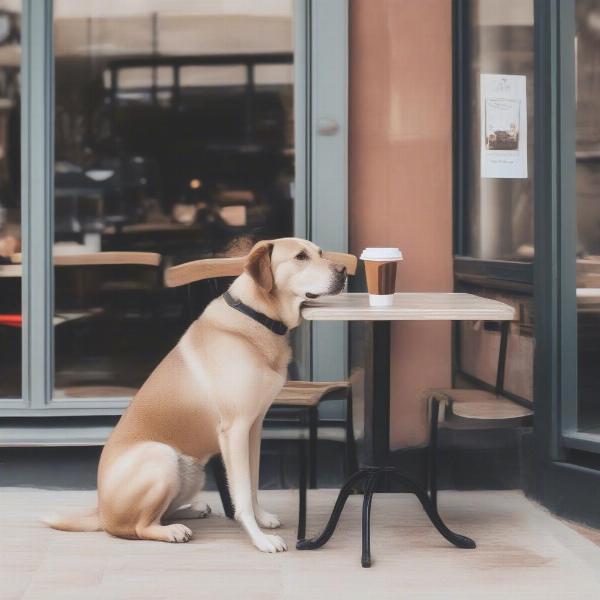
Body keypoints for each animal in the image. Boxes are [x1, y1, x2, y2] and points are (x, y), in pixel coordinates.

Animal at [44, 238, 346, 552]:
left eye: (320, 252)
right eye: (300, 257)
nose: (344, 270)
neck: (257, 317)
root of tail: (100, 510)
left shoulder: (254, 428)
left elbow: (251, 483)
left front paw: (262, 518)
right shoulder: (235, 430)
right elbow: (241, 493)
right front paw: (260, 539)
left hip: (191, 469)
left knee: (161, 512)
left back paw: (193, 509)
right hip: (161, 456)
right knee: (137, 527)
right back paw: (172, 531)